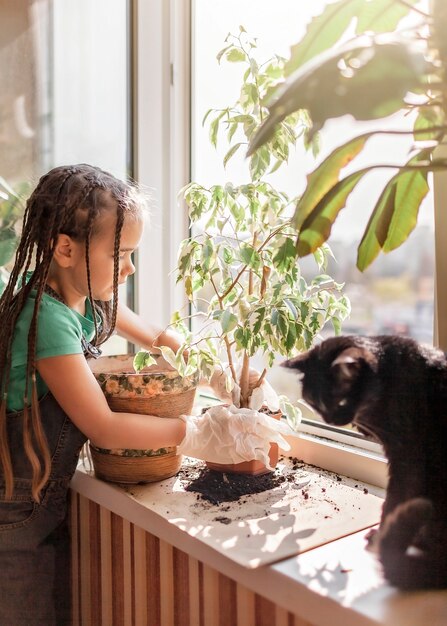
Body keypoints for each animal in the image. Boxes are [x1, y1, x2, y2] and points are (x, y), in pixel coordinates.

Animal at [286, 334, 447, 588]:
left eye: (341, 401)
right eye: (314, 402)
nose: (330, 420)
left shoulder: (407, 458)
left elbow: (393, 501)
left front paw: (379, 535)